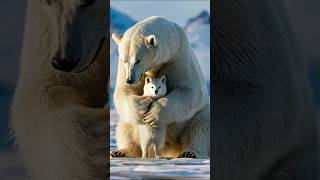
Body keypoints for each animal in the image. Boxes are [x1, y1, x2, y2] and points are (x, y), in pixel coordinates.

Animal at [110, 16, 210, 158]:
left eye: (138, 60)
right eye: (124, 60)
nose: (130, 80)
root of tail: (170, 147)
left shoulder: (178, 57)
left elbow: (190, 90)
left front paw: (153, 115)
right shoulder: (126, 70)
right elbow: (124, 91)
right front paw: (142, 105)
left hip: (195, 118)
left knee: (200, 127)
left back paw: (190, 152)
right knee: (126, 126)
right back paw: (121, 151)